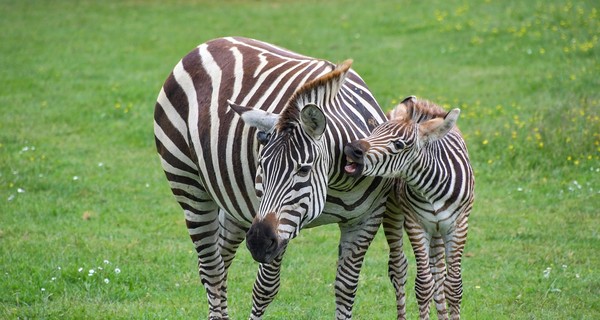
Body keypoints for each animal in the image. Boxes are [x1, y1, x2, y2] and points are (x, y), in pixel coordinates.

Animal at [152, 37, 406, 318]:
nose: (258, 242)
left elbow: (346, 288)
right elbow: (265, 289)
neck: (339, 183)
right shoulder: (274, 223)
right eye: (262, 166)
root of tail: (209, 43)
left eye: (303, 170)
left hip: (235, 205)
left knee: (220, 260)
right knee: (212, 270)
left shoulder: (366, 219)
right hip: (189, 186)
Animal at [344, 95, 476, 320]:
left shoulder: (459, 225)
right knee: (399, 268)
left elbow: (453, 286)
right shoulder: (416, 223)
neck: (431, 188)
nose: (351, 149)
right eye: (374, 132)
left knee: (438, 270)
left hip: (438, 228)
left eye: (398, 144)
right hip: (393, 212)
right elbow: (424, 285)